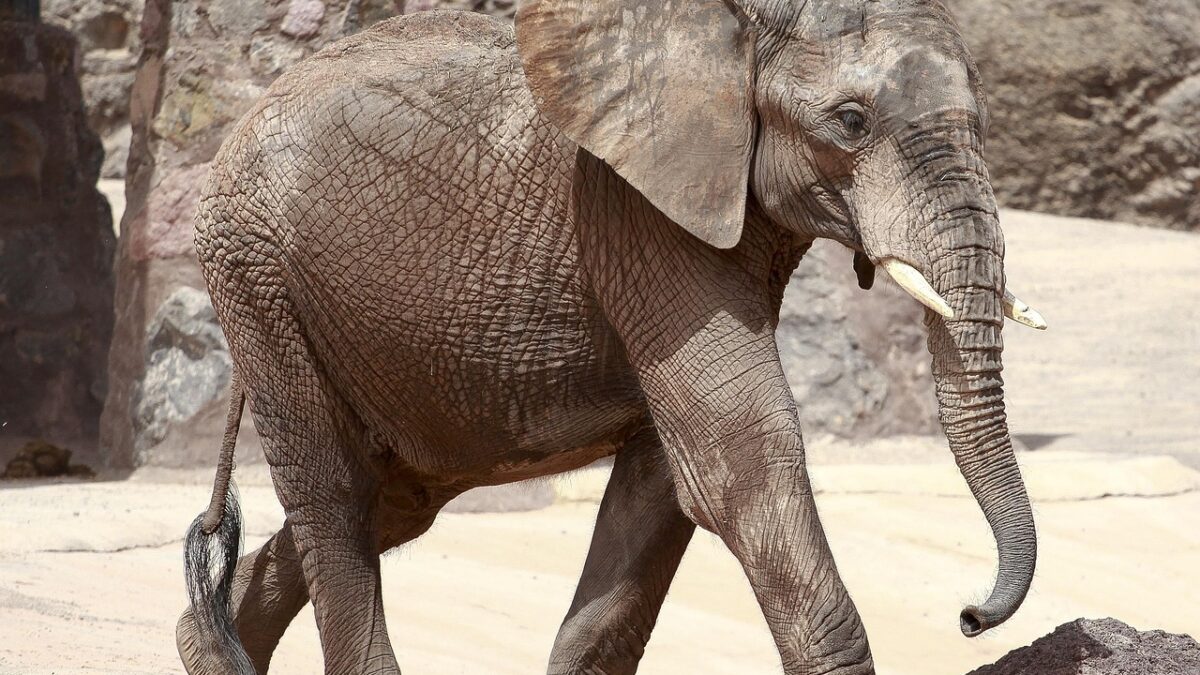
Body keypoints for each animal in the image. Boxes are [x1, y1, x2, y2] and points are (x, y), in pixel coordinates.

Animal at [177, 1, 1049, 673]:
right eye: (852, 121)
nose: (970, 615)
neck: (733, 29)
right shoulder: (633, 211)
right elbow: (737, 456)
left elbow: (665, 479)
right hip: (256, 279)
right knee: (336, 497)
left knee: (391, 500)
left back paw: (205, 647)